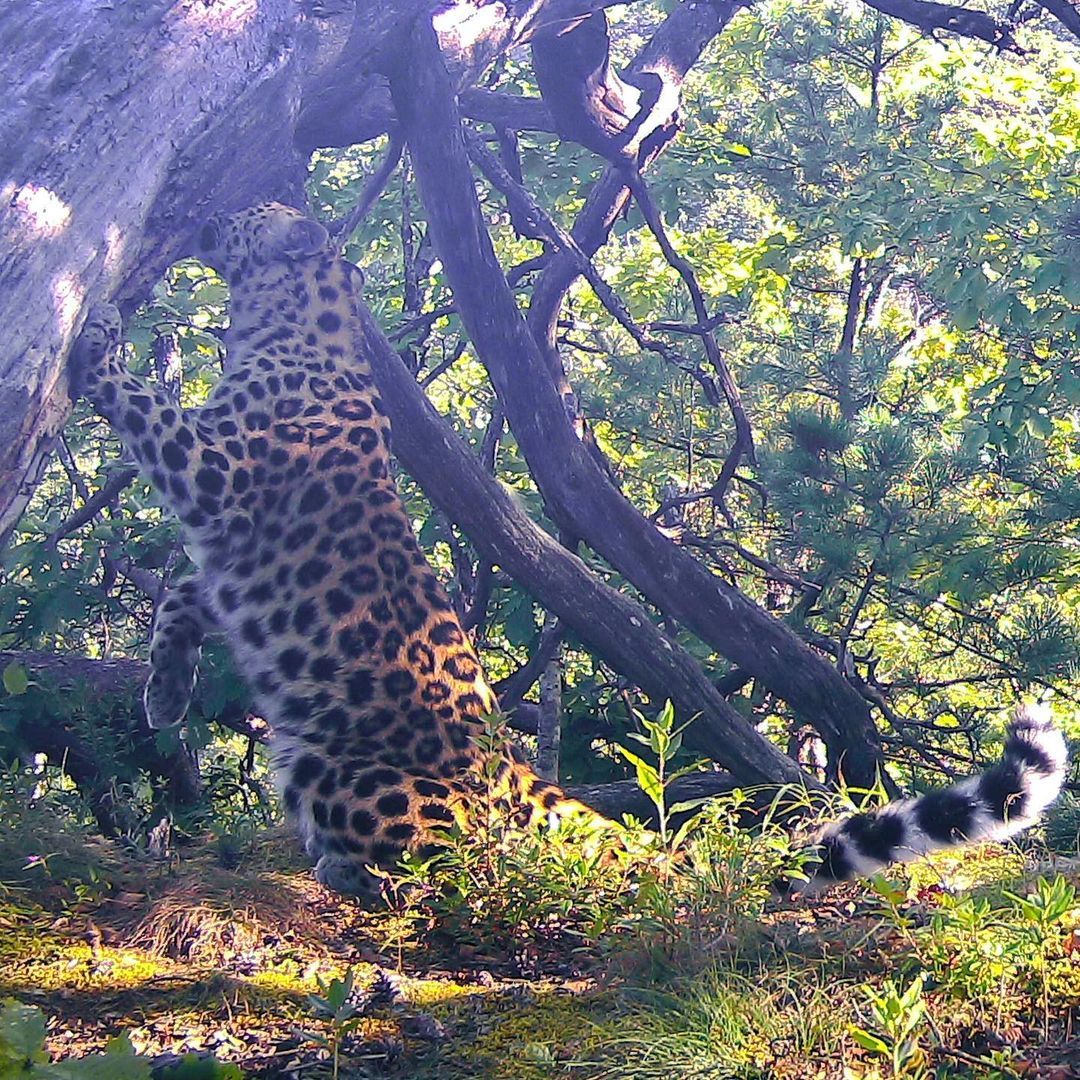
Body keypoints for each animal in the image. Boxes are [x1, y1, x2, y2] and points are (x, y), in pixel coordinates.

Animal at [69, 200, 1071, 894]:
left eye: (251, 212)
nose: (209, 207)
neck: (284, 321)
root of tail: (515, 772)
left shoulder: (219, 473)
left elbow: (148, 410)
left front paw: (97, 336)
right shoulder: (225, 544)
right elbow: (181, 594)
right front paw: (164, 690)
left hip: (346, 773)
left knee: (450, 863)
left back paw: (353, 873)